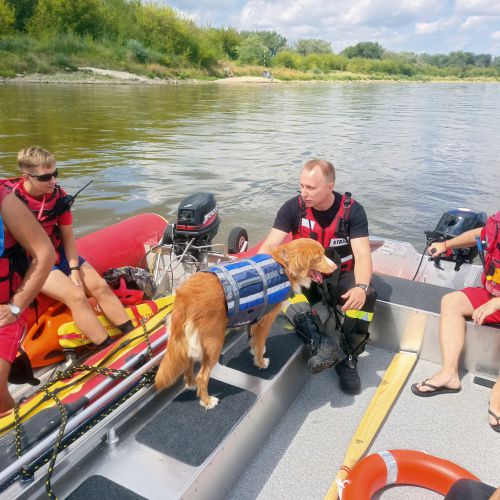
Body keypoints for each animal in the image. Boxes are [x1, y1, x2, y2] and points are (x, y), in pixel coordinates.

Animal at [156, 239, 336, 410]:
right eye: (318, 257)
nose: (335, 267)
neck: (283, 265)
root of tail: (185, 295)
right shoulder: (265, 321)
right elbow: (260, 342)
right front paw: (261, 362)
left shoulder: (254, 319)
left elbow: (254, 340)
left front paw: (255, 350)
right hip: (213, 344)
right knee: (202, 376)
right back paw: (207, 401)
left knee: (188, 363)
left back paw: (191, 384)